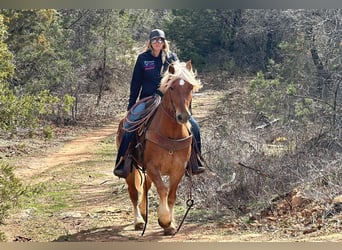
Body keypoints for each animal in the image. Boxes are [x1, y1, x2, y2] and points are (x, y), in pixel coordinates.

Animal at [117, 61, 203, 236]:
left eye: (190, 87)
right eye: (172, 88)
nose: (183, 116)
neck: (171, 133)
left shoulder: (178, 168)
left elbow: (171, 195)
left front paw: (171, 224)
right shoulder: (152, 166)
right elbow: (162, 190)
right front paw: (164, 220)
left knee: (146, 186)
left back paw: (144, 213)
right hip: (130, 170)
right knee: (134, 193)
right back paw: (139, 221)